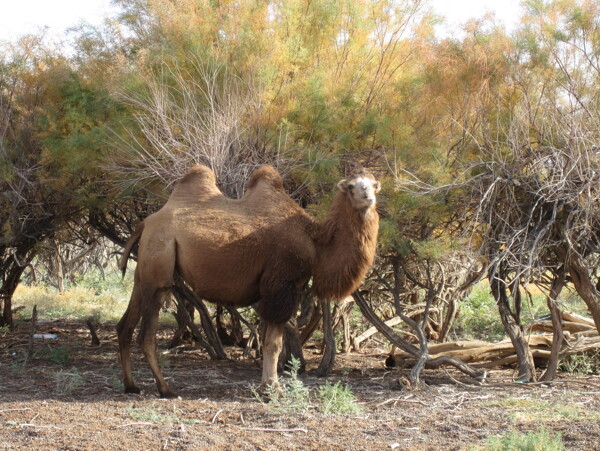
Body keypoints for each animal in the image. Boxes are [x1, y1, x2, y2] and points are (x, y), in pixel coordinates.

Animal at [118, 164, 380, 398]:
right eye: (351, 186)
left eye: (374, 184)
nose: (367, 197)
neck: (314, 242)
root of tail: (145, 223)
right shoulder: (279, 286)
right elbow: (273, 344)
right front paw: (272, 389)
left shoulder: (285, 289)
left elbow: (269, 340)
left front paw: (268, 385)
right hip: (159, 270)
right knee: (146, 335)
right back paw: (165, 389)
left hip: (143, 272)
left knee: (125, 325)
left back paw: (131, 386)